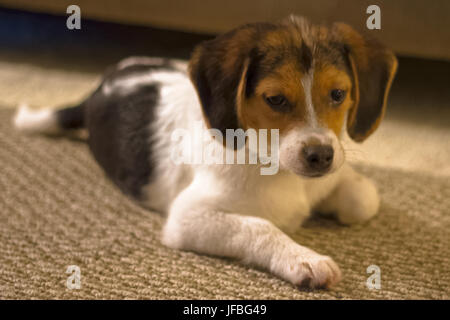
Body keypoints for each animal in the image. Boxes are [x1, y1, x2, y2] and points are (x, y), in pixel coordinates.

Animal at [14, 16, 396, 288]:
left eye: (338, 94)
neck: (270, 161)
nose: (321, 157)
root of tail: (99, 86)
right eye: (275, 99)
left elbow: (363, 199)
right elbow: (259, 227)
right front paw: (303, 259)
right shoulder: (187, 217)